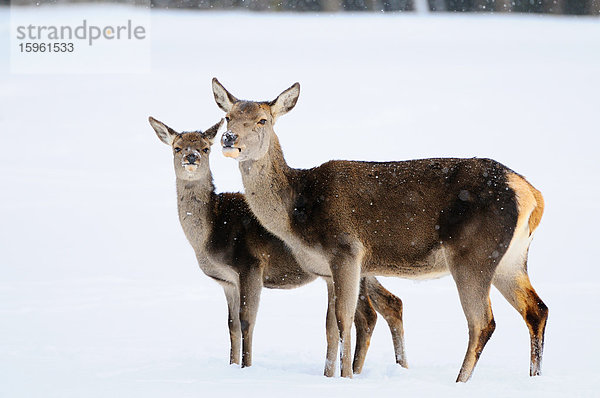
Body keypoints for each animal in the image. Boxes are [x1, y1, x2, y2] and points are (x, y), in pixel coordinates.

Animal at [148, 115, 408, 374]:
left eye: (205, 148)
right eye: (177, 147)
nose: (191, 157)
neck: (210, 236)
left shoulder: (250, 264)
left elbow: (246, 321)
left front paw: (246, 367)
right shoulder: (227, 281)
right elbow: (231, 325)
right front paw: (231, 365)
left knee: (367, 315)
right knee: (391, 303)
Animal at [213, 78, 552, 382]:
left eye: (262, 120)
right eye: (228, 117)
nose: (229, 139)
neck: (298, 215)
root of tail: (531, 193)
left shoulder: (346, 251)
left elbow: (344, 320)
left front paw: (347, 377)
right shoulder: (325, 270)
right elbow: (329, 327)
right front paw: (328, 376)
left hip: (473, 253)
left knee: (482, 322)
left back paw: (460, 381)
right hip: (511, 258)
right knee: (536, 309)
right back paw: (534, 377)